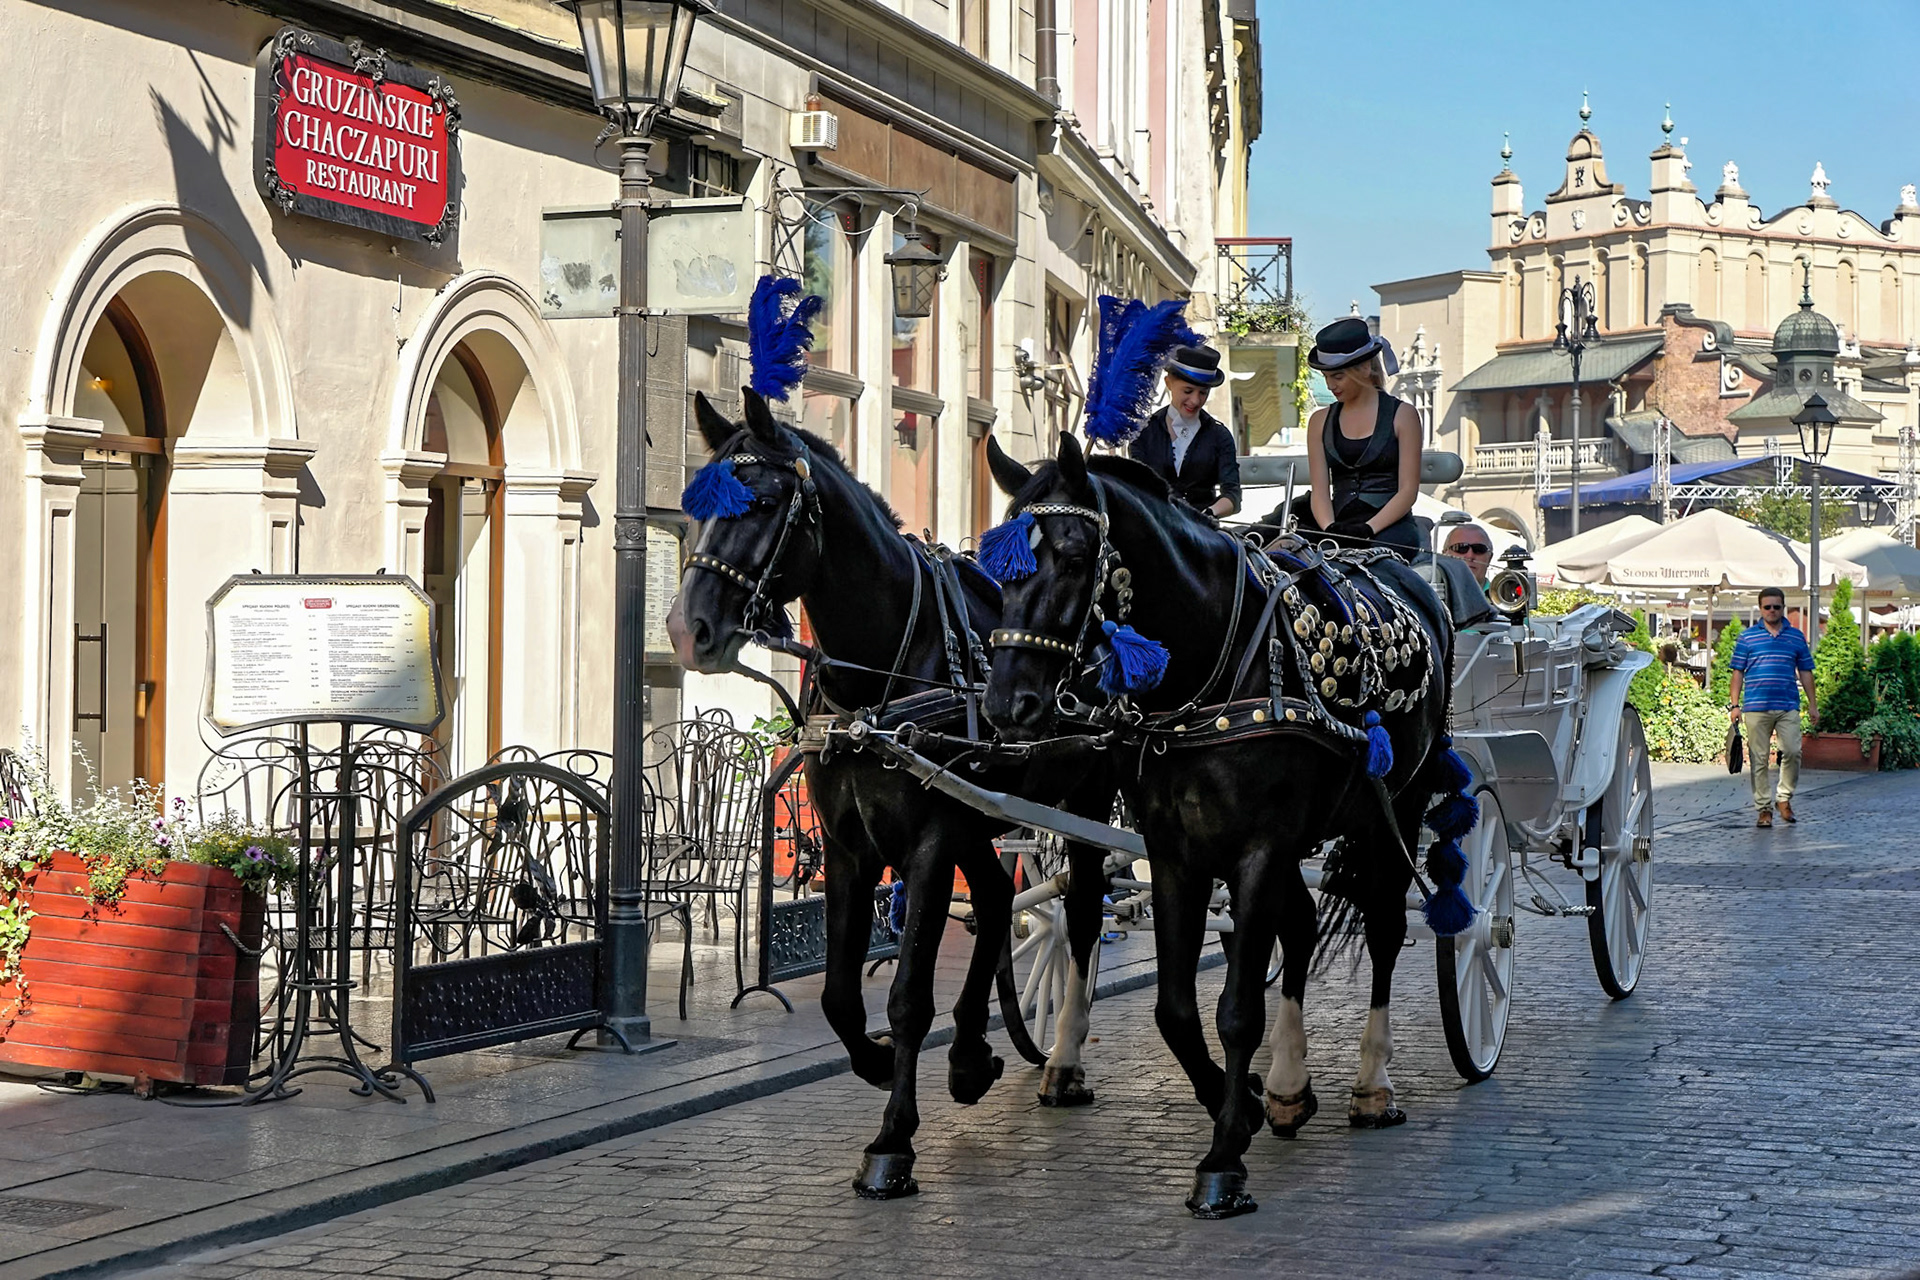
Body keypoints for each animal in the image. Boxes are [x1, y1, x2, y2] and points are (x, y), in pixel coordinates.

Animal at [669, 388, 1117, 1200]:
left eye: (767, 500)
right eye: (697, 504)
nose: (687, 630)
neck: (877, 676)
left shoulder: (928, 845)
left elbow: (907, 993)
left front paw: (892, 1144)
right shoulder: (851, 847)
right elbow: (840, 995)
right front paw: (878, 1062)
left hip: (1082, 803)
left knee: (1082, 911)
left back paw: (1060, 1061)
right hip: (980, 816)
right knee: (1000, 902)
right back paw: (971, 1056)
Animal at [980, 433, 1468, 1219]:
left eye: (1076, 558)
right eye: (993, 570)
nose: (1007, 704)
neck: (1216, 663)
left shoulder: (1259, 849)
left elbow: (1237, 1008)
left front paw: (1222, 1162)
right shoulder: (1175, 851)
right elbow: (1177, 1010)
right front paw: (1237, 1102)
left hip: (1400, 804)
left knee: (1387, 928)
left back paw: (1372, 1086)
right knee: (1299, 927)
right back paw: (1290, 1086)